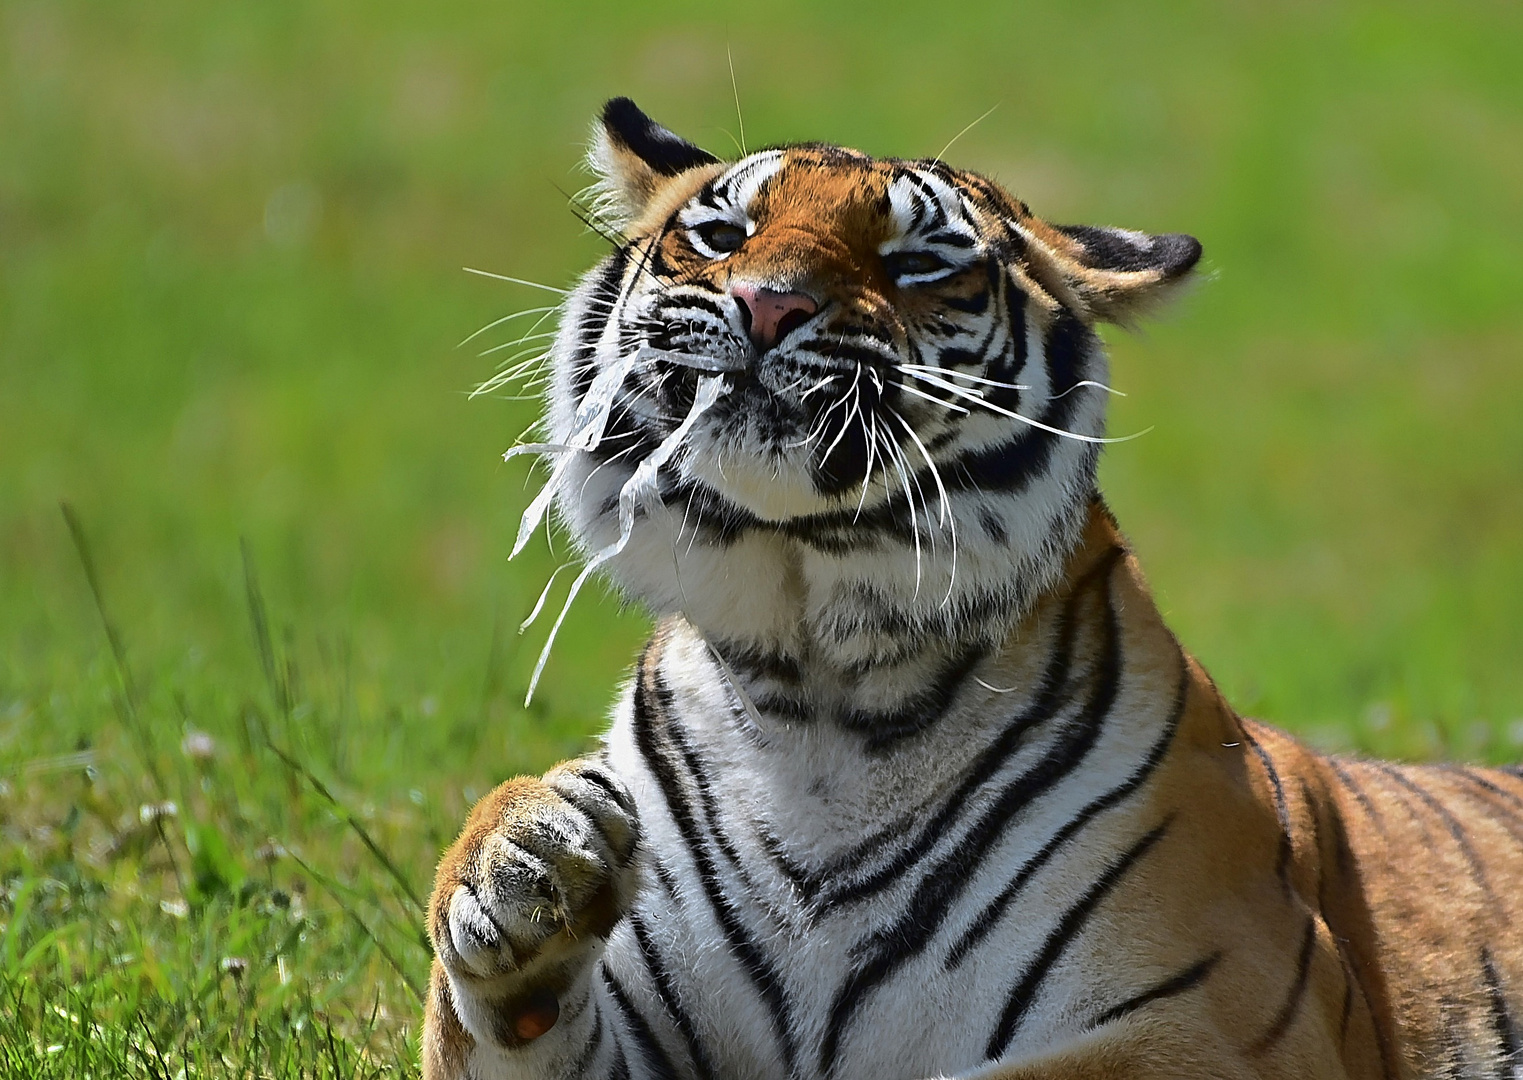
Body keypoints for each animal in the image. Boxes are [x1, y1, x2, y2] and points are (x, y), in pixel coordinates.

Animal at [420, 96, 1523, 1072]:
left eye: (914, 262)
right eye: (724, 232)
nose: (767, 301)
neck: (814, 683)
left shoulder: (1216, 1019)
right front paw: (532, 859)